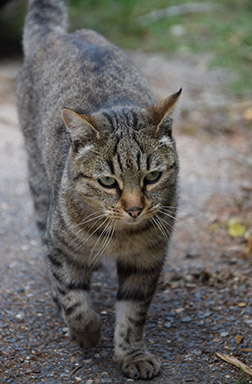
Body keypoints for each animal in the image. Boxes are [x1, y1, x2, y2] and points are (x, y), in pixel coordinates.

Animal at [16, 0, 181, 378]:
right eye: (108, 181)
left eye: (152, 176)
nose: (134, 208)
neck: (120, 235)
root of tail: (58, 34)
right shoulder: (61, 246)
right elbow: (74, 299)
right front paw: (87, 332)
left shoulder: (147, 260)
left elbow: (133, 313)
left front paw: (132, 354)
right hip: (38, 185)